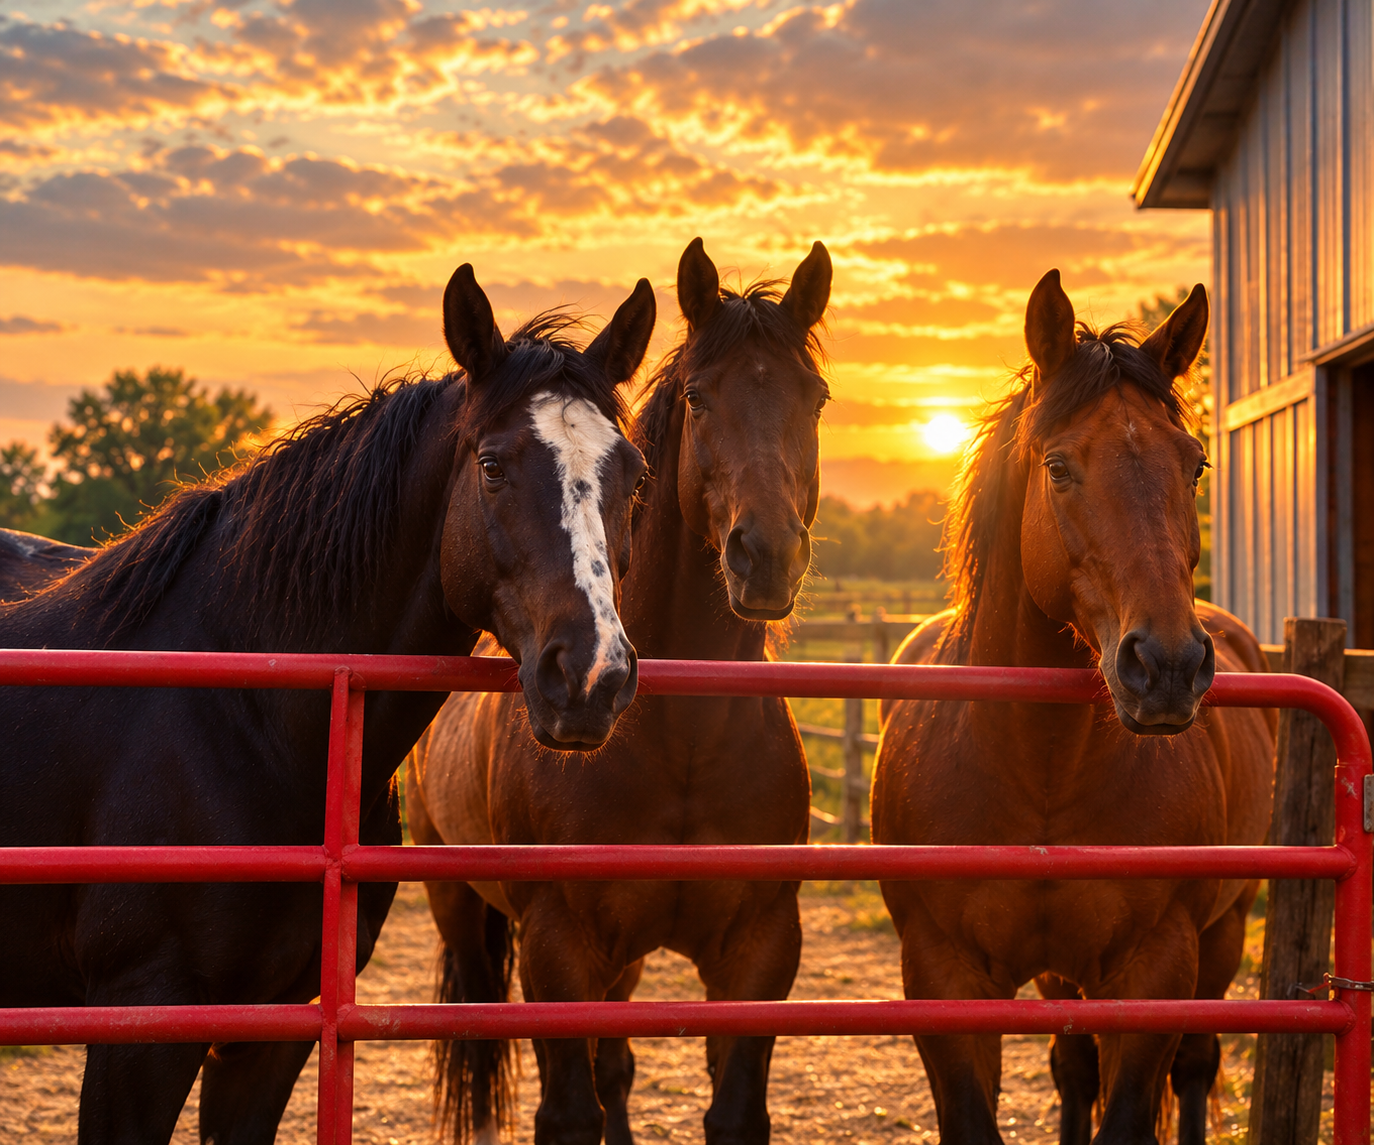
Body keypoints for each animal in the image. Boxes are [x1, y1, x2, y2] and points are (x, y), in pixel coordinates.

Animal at [0, 262, 656, 1145]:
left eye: (635, 476)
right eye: (492, 465)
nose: (591, 675)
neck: (242, 716)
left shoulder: (275, 1025)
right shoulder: (140, 1024)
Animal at [405, 236, 832, 1145]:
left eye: (813, 398)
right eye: (701, 398)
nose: (767, 555)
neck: (686, 742)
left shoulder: (760, 951)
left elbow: (726, 1108)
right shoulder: (560, 948)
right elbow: (571, 1108)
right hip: (455, 900)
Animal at [871, 270, 1275, 1145]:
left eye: (1194, 465)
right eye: (1058, 466)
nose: (1167, 666)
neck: (1041, 769)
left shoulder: (1157, 970)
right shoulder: (942, 975)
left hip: (1223, 936)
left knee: (1196, 1067)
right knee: (1074, 1066)